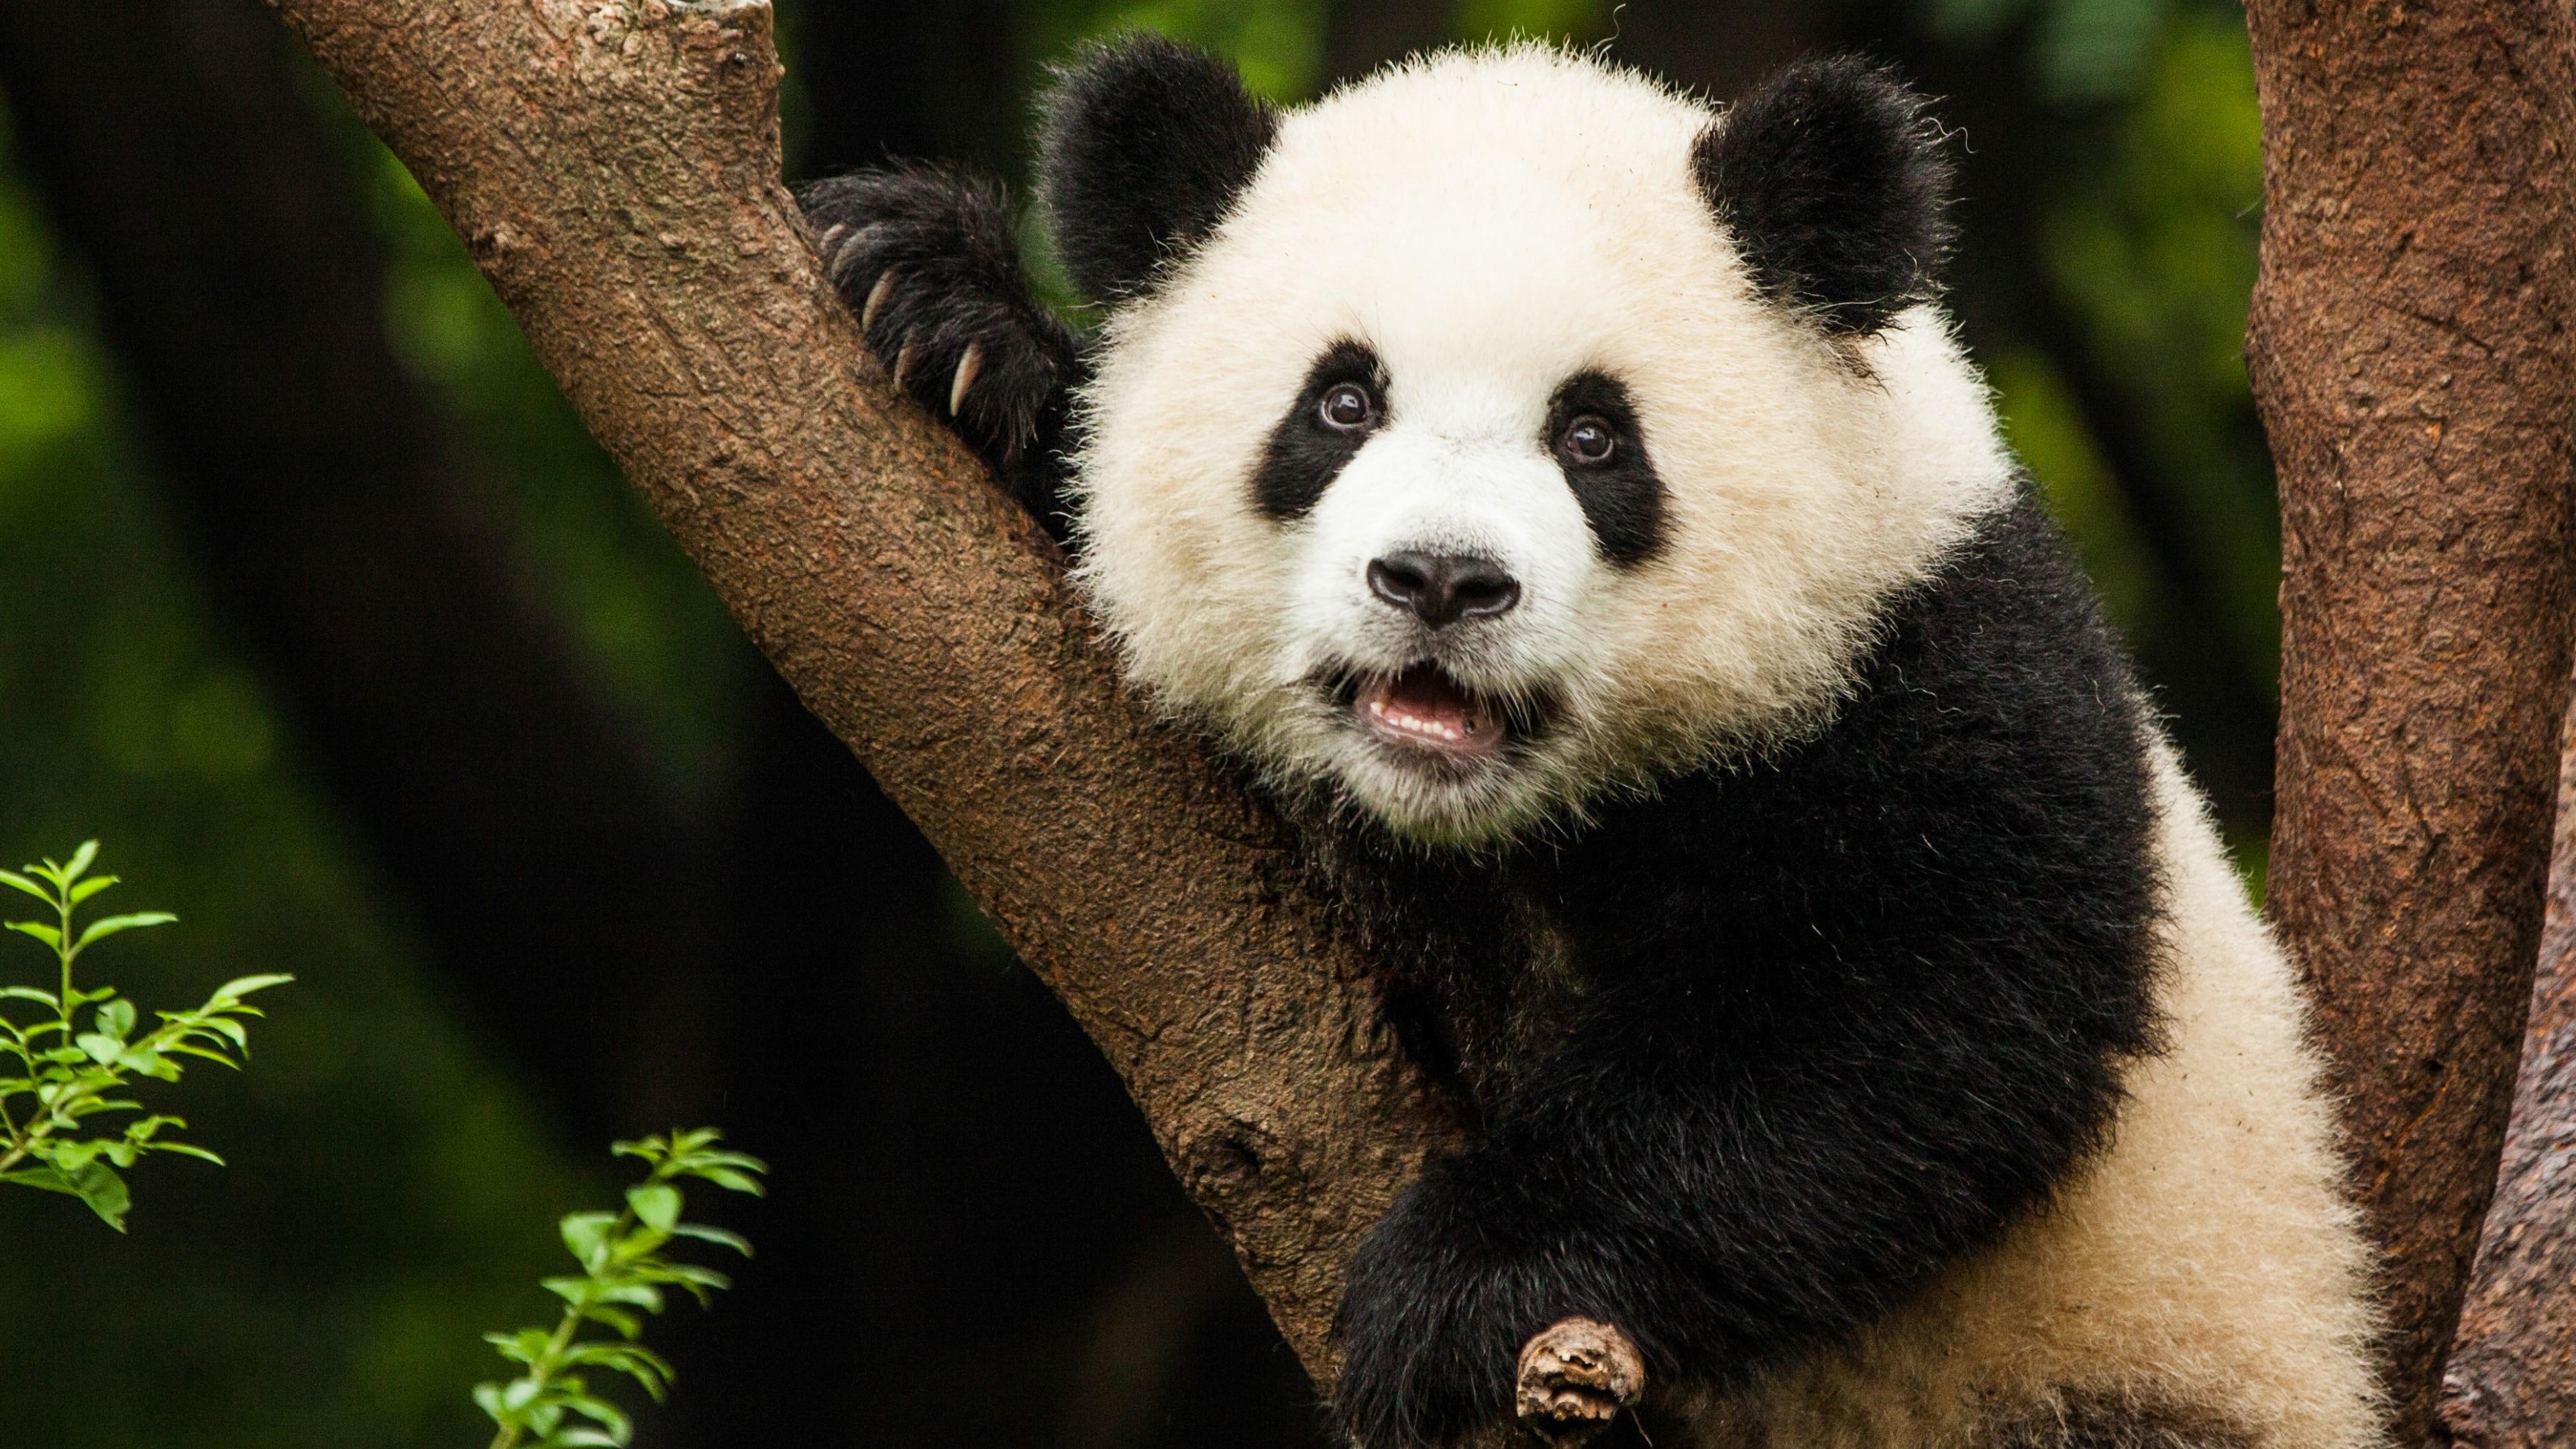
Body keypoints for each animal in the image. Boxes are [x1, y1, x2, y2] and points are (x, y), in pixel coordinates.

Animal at [802, 36, 2384, 1449]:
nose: (1442, 580)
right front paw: (940, 306)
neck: (1503, 824)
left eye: (1593, 438)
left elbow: (1920, 1013)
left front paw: (1460, 1287)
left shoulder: (1934, 655)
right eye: (1341, 402)